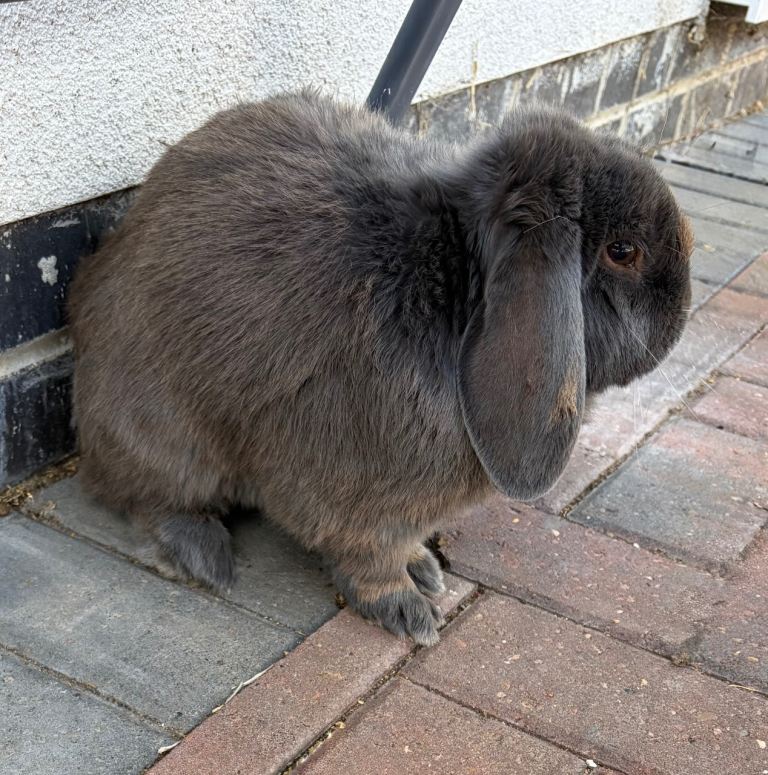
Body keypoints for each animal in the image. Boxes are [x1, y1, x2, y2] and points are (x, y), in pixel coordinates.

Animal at [68, 89, 693, 646]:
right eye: (623, 252)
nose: (680, 312)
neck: (454, 279)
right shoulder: (361, 500)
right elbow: (371, 557)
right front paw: (409, 613)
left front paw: (425, 570)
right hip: (164, 438)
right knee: (140, 495)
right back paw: (203, 557)